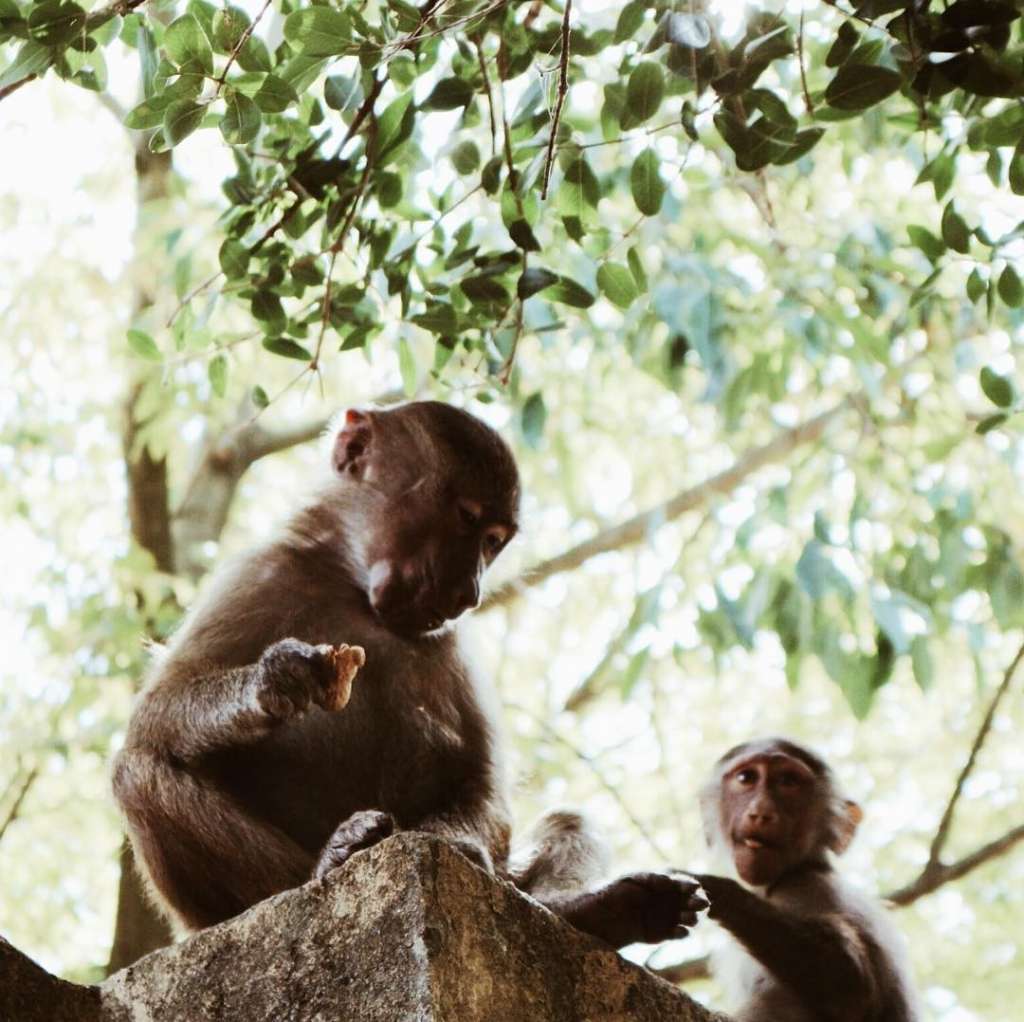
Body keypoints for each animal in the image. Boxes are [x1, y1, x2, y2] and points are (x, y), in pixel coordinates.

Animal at [114, 401, 704, 950]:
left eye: (494, 541)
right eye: (466, 518)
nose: (470, 592)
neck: (351, 587)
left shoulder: (449, 641)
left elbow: (481, 780)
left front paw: (460, 849)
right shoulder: (257, 572)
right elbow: (153, 716)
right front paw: (274, 680)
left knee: (566, 821)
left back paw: (594, 911)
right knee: (137, 773)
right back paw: (331, 859)